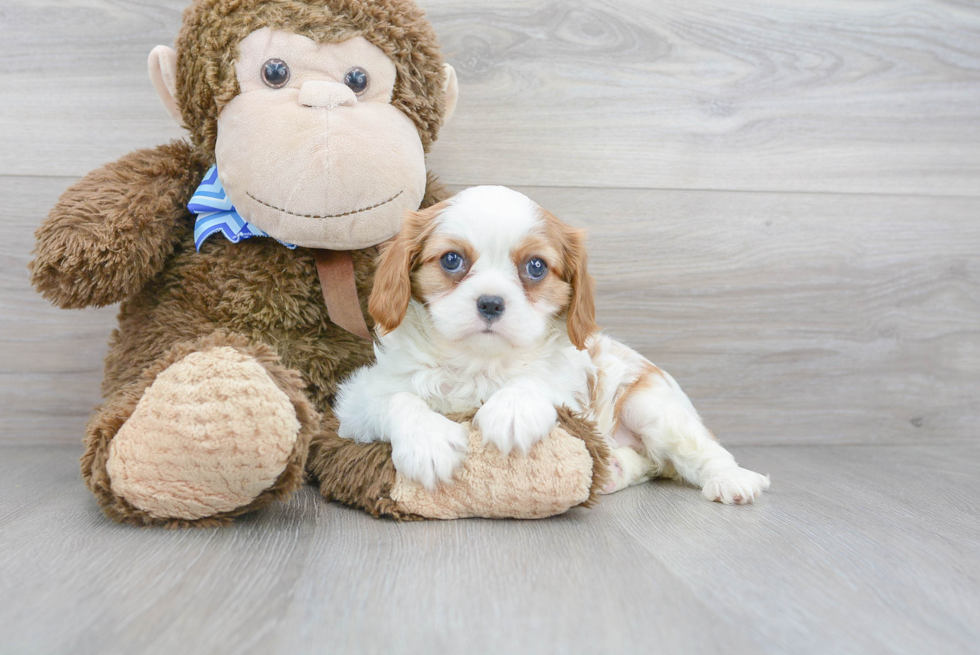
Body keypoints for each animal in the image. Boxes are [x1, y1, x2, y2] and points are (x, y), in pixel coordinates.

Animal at [334, 187, 768, 504]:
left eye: (536, 267)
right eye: (452, 260)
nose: (490, 303)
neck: (479, 363)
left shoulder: (571, 387)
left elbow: (538, 381)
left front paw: (511, 410)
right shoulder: (357, 402)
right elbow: (397, 399)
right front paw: (428, 440)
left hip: (653, 406)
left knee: (697, 451)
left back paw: (732, 480)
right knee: (650, 463)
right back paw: (614, 471)